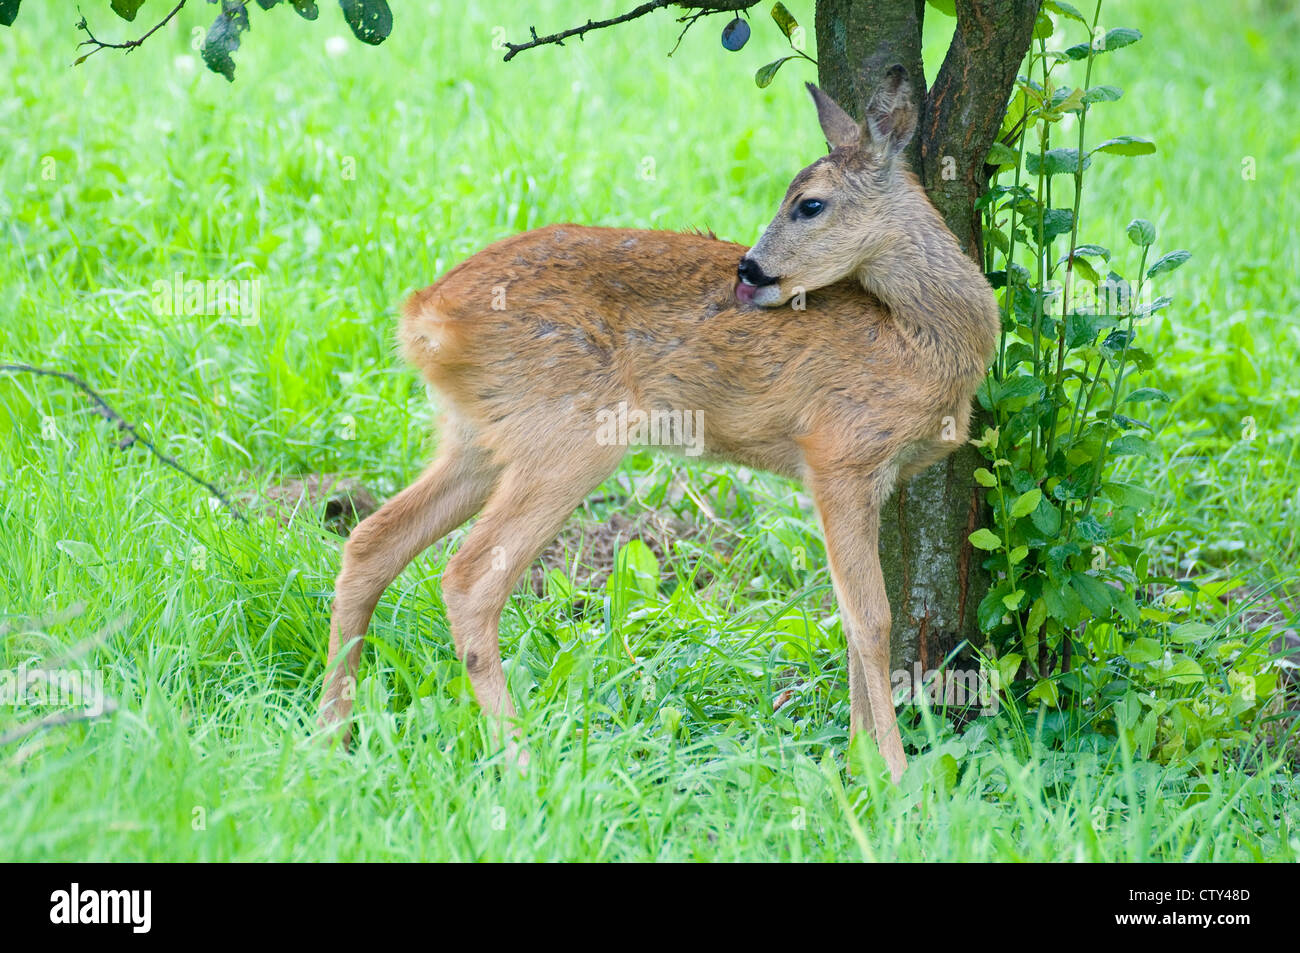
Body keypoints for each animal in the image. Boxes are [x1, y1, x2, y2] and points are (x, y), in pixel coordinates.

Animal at [314, 65, 993, 780]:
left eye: (809, 204)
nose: (748, 269)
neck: (920, 340)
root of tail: (423, 317)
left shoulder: (863, 476)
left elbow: (847, 613)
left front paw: (860, 764)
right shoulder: (840, 455)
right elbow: (873, 620)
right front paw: (892, 773)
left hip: (477, 437)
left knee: (370, 540)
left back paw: (330, 736)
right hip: (569, 434)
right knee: (470, 578)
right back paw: (522, 762)